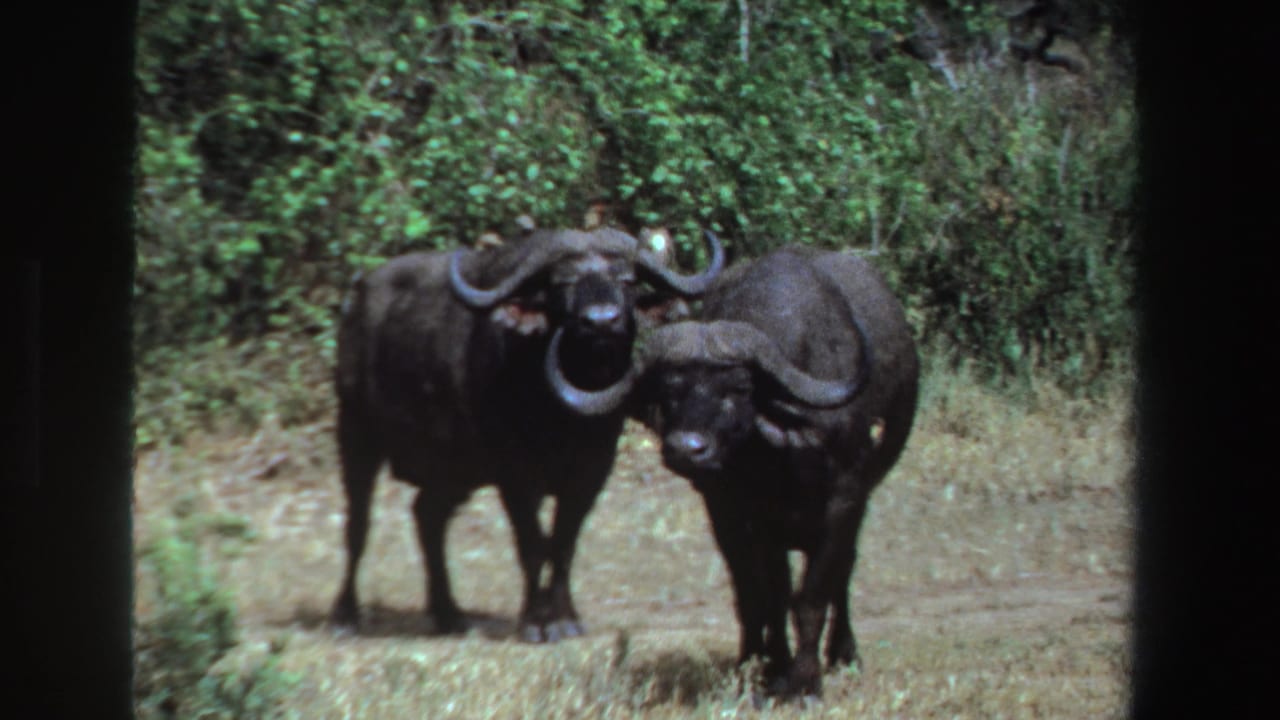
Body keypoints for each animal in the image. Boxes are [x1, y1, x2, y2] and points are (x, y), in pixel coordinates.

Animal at [331, 226, 723, 642]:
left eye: (626, 280)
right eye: (563, 283)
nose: (601, 321)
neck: (564, 413)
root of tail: (357, 300)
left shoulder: (592, 472)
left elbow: (564, 545)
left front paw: (565, 618)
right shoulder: (516, 475)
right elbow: (533, 544)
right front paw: (536, 621)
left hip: (453, 470)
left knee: (428, 517)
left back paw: (449, 614)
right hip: (355, 432)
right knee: (358, 524)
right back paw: (345, 615)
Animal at [553, 246, 919, 695]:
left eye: (738, 389)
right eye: (669, 390)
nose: (686, 449)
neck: (784, 455)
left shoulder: (845, 501)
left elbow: (814, 594)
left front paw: (805, 681)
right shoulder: (747, 514)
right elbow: (770, 594)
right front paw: (774, 670)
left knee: (841, 572)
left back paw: (843, 653)